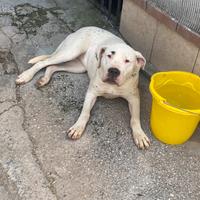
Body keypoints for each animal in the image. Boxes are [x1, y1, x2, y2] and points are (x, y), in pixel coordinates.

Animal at [15, 26, 150, 148]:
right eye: (109, 55)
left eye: (127, 61)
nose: (113, 71)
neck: (112, 86)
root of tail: (81, 29)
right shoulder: (91, 93)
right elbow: (85, 112)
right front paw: (78, 127)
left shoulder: (134, 98)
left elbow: (135, 118)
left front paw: (140, 135)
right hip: (69, 53)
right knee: (43, 63)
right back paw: (26, 76)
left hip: (77, 66)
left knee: (52, 67)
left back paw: (44, 79)